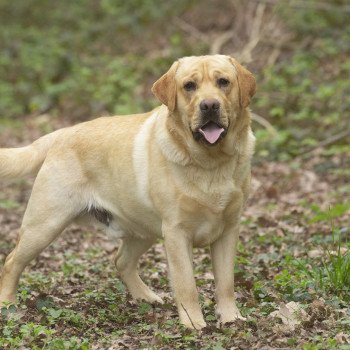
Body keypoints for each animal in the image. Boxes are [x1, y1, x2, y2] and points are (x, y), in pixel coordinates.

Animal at [0, 54, 258, 328]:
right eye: (189, 86)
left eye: (223, 82)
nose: (209, 105)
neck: (210, 163)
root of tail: (62, 133)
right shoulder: (176, 233)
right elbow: (187, 285)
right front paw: (193, 323)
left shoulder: (229, 230)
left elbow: (226, 283)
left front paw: (231, 318)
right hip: (45, 225)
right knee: (11, 262)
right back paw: (7, 306)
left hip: (144, 228)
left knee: (121, 261)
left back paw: (145, 296)